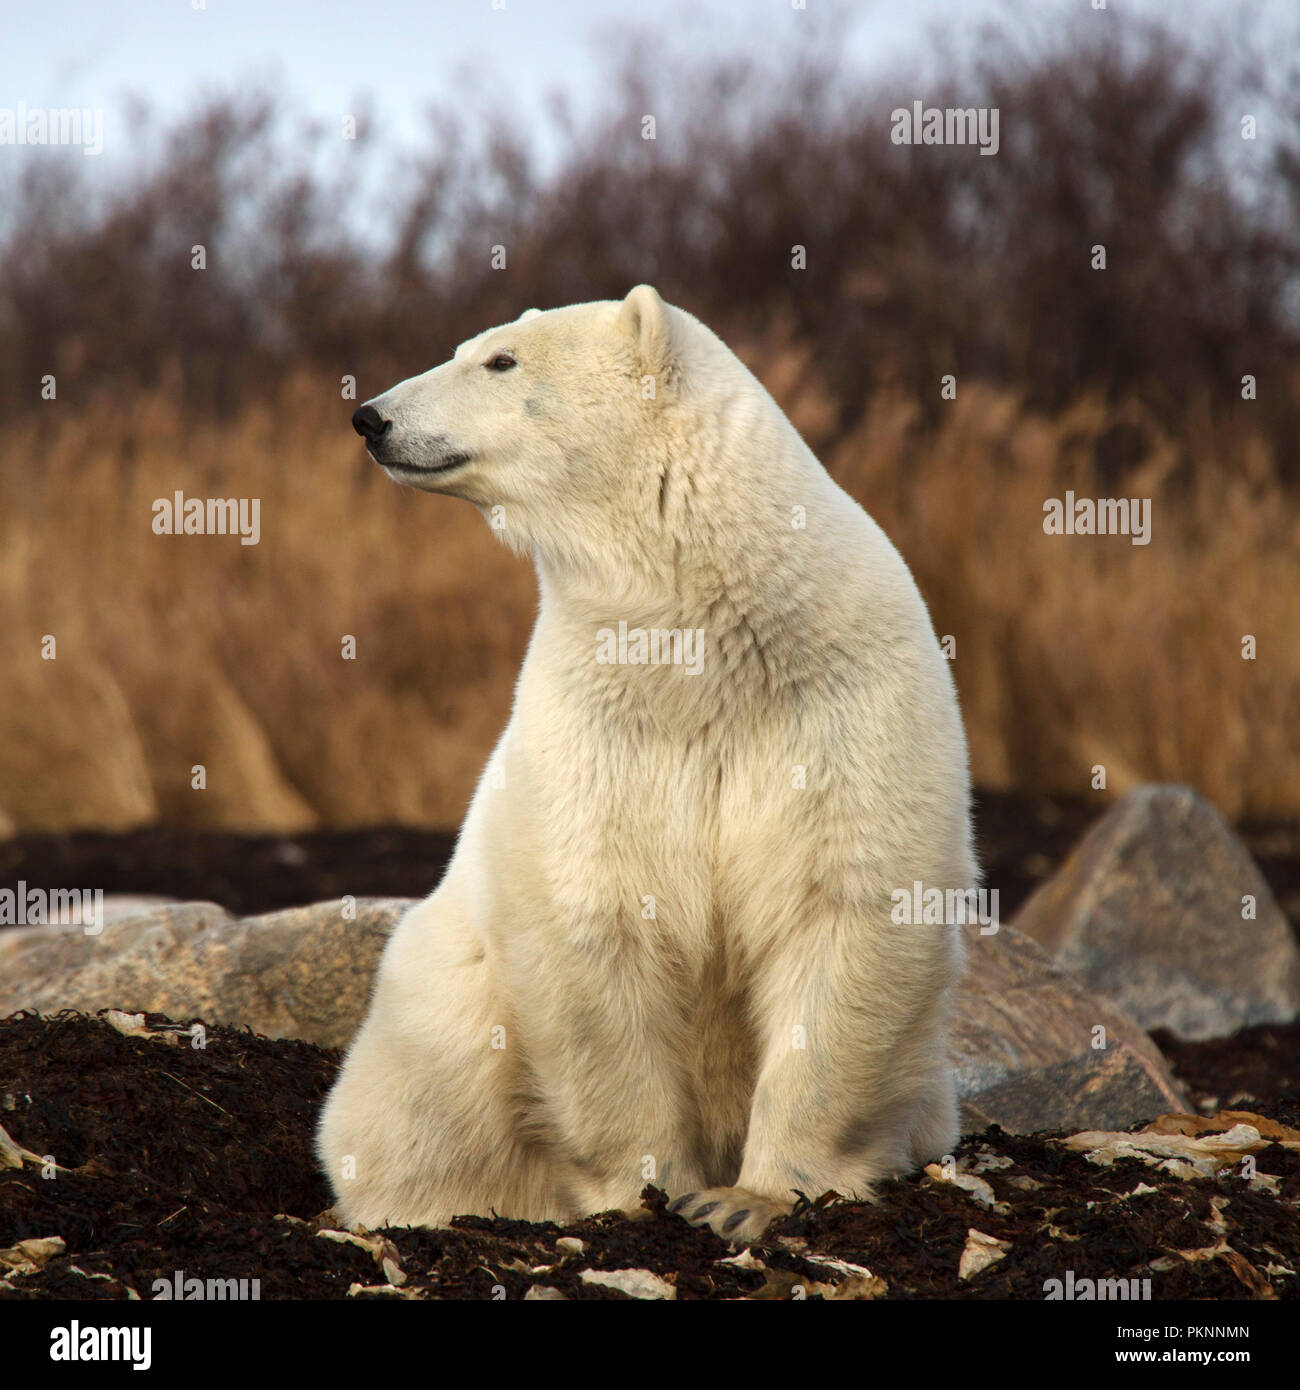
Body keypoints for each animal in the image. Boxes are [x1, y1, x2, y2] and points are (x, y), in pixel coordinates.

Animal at [319, 282, 978, 1239]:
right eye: (475, 347)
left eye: (500, 359)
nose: (371, 416)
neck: (705, 633)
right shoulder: (599, 718)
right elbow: (598, 923)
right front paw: (650, 1191)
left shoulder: (842, 700)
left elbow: (845, 911)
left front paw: (750, 1200)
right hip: (434, 1001)